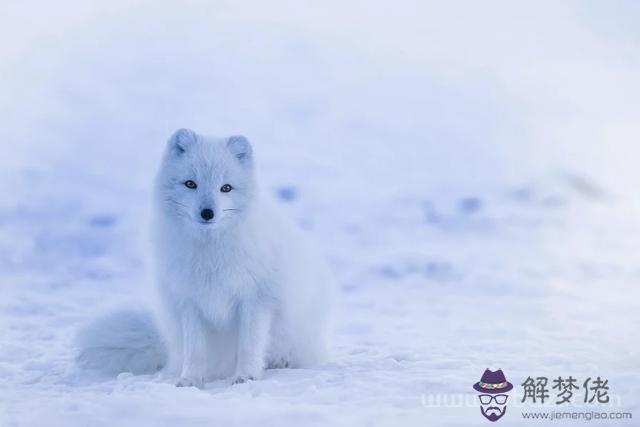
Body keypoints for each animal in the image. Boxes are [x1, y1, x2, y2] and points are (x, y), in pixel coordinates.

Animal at [77, 130, 332, 388]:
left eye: (226, 188)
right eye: (191, 184)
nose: (207, 213)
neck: (210, 253)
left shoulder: (256, 298)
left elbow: (249, 345)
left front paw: (245, 376)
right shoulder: (189, 301)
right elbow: (195, 350)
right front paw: (190, 380)